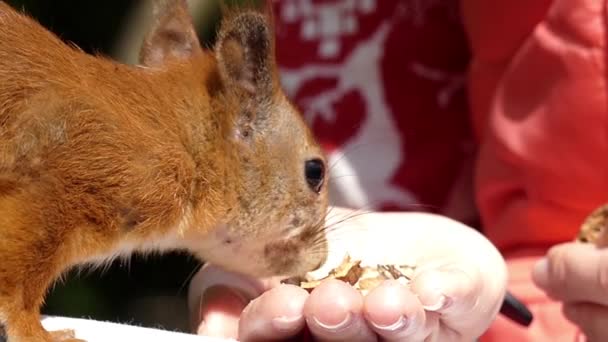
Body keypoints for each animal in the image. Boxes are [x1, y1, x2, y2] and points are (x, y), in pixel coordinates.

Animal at [0, 1, 328, 340]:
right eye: (315, 171)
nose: (321, 257)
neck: (177, 139)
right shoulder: (57, 193)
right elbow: (19, 284)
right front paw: (34, 331)